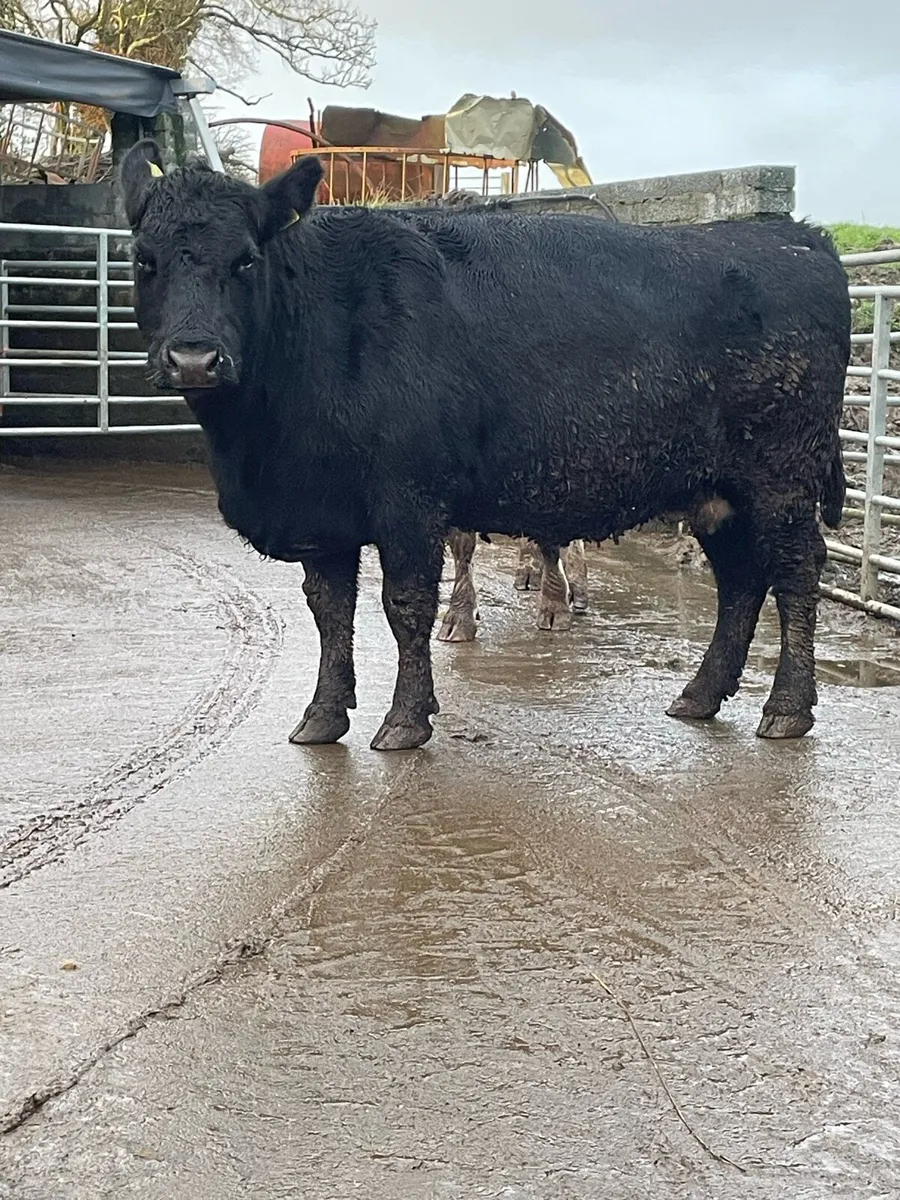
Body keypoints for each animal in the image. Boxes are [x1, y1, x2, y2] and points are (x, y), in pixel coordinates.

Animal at [119, 141, 849, 752]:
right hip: (717, 493)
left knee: (794, 573)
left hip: (781, 480)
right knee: (740, 582)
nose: (193, 358)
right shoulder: (322, 514)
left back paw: (787, 708)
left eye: (246, 258)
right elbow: (330, 612)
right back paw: (699, 696)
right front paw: (322, 717)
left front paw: (405, 720)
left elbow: (405, 606)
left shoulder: (409, 501)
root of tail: (798, 238)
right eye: (143, 260)